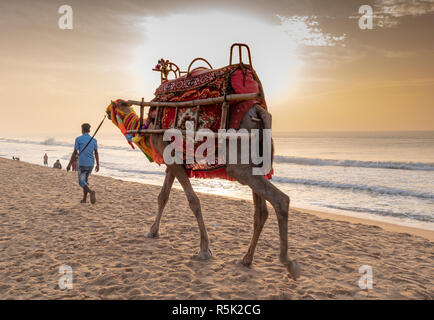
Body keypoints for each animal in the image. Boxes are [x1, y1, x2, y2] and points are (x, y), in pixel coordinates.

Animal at [107, 43, 300, 278]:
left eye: (116, 106)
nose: (106, 111)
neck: (149, 123)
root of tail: (257, 108)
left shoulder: (172, 158)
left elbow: (193, 201)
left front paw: (204, 250)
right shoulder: (174, 162)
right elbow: (163, 196)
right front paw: (152, 232)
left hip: (239, 163)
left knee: (280, 200)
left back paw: (289, 264)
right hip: (258, 160)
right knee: (261, 211)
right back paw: (246, 259)